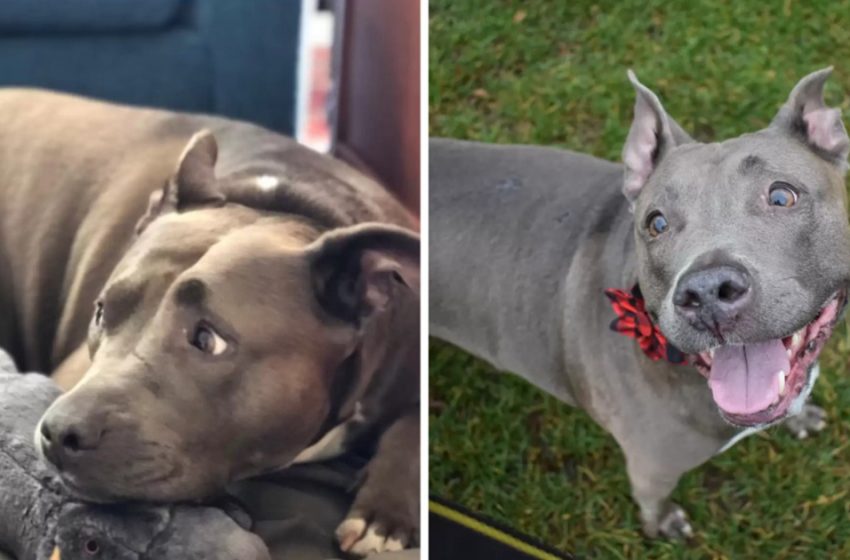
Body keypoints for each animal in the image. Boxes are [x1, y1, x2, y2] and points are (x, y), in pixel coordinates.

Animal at [430, 69, 848, 540]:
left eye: (781, 196)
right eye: (656, 223)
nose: (707, 291)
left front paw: (800, 417)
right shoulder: (651, 465)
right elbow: (653, 499)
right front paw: (663, 524)